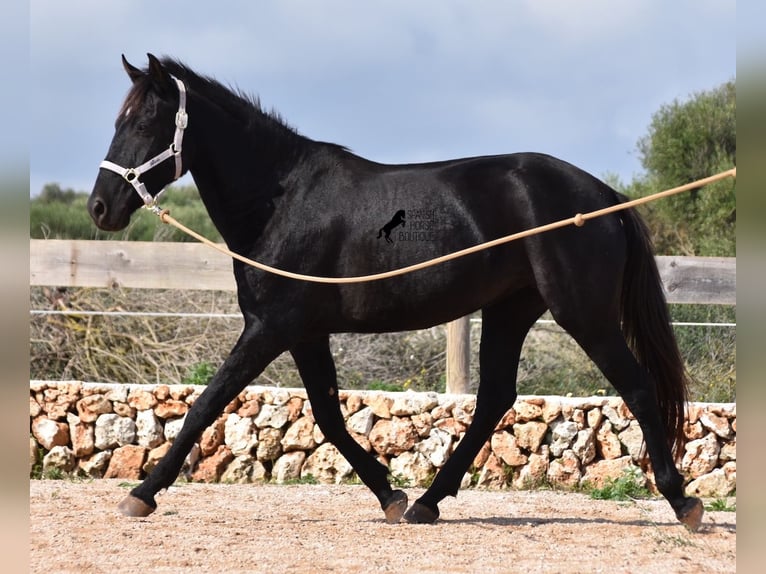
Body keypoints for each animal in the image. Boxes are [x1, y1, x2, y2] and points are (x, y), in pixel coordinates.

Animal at [87, 56, 704, 532]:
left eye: (145, 122)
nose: (100, 207)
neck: (282, 200)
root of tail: (604, 196)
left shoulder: (269, 327)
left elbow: (206, 404)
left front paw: (141, 493)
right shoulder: (305, 332)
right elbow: (328, 417)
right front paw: (390, 495)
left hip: (584, 314)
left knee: (637, 387)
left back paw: (683, 501)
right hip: (510, 310)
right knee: (494, 399)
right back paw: (427, 503)